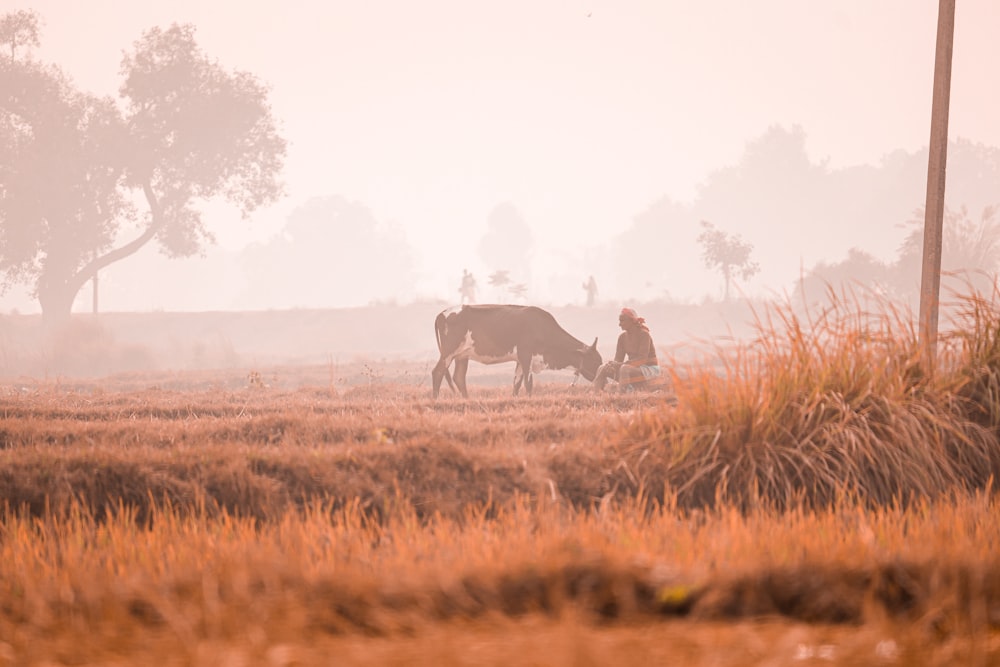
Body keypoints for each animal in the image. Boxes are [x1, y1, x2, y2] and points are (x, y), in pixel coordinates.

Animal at [432, 306, 600, 400]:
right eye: (595, 361)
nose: (599, 379)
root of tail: (441, 313)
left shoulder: (521, 360)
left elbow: (517, 383)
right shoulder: (526, 355)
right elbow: (528, 383)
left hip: (462, 355)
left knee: (459, 377)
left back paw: (467, 399)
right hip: (448, 352)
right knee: (438, 372)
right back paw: (435, 399)